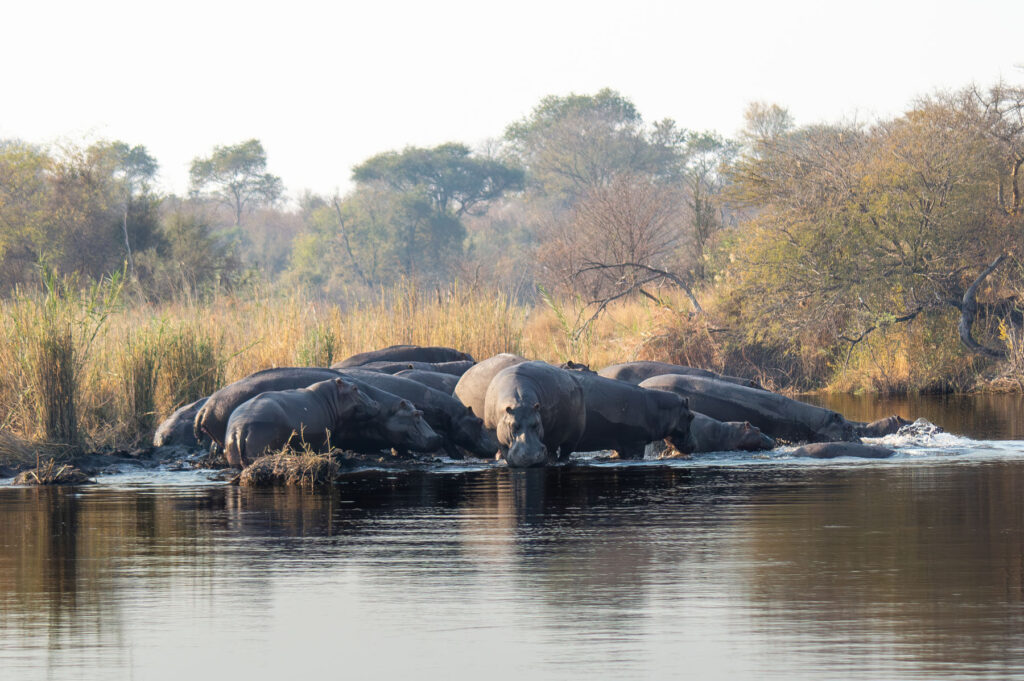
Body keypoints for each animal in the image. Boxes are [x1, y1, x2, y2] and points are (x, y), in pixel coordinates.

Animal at [223, 377, 381, 467]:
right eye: (355, 387)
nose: (376, 402)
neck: (331, 397)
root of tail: (240, 428)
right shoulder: (324, 438)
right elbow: (325, 450)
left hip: (234, 456)